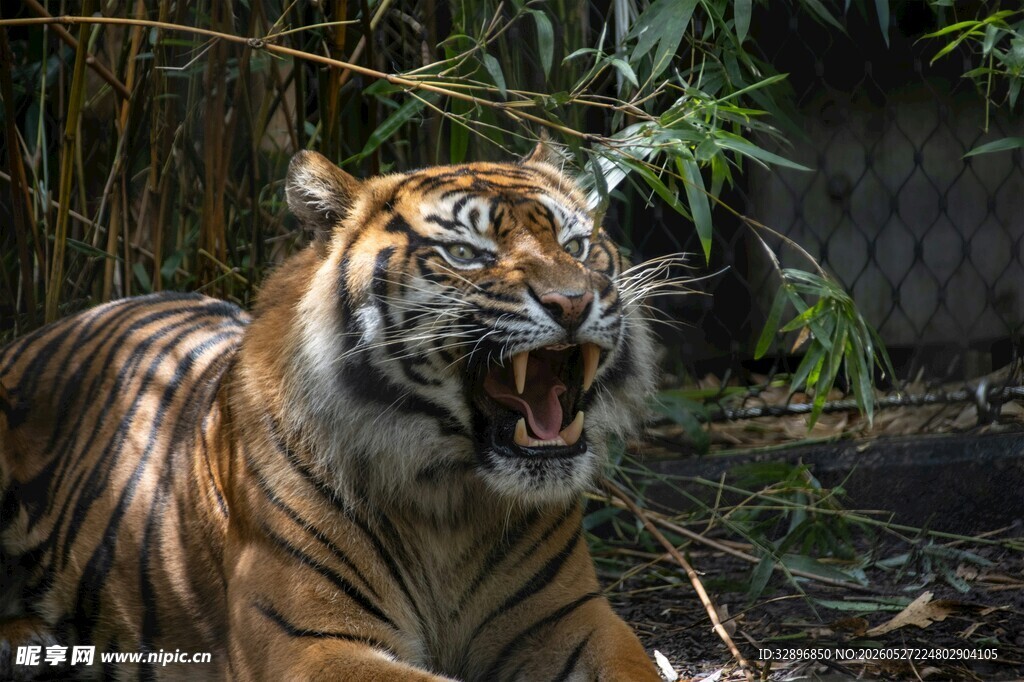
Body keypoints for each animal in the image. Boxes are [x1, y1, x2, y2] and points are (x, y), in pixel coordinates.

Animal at [0, 145, 667, 681]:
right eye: (464, 253)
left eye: (577, 246)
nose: (573, 302)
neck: (452, 502)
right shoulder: (311, 642)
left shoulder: (572, 619)